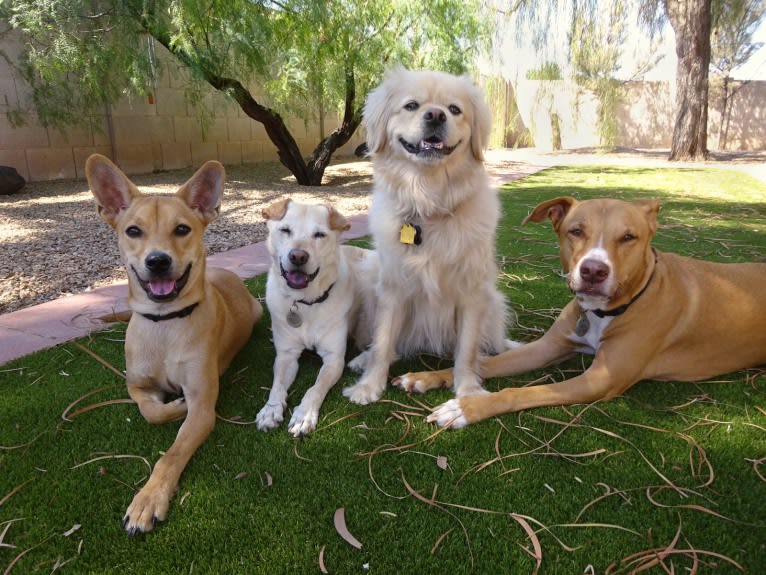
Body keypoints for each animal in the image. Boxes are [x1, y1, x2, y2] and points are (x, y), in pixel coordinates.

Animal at [87, 154, 264, 536]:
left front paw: (148, 500)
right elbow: (149, 410)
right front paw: (172, 406)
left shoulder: (203, 406)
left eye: (182, 229)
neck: (164, 325)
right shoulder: (135, 385)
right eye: (133, 231)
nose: (158, 261)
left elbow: (171, 455)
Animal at [258, 199, 378, 436]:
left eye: (319, 235)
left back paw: (361, 361)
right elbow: (277, 385)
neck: (305, 302)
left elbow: (315, 388)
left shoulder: (334, 358)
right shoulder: (286, 355)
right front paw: (270, 409)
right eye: (285, 230)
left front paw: (304, 415)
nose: (298, 256)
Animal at [344, 67, 516, 408]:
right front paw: (369, 385)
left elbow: (467, 350)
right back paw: (362, 360)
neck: (429, 202)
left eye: (454, 109)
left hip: (493, 300)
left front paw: (468, 391)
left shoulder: (473, 292)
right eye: (411, 105)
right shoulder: (392, 289)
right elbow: (383, 342)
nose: (435, 115)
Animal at [396, 198, 766, 428]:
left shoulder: (600, 379)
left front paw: (466, 407)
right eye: (576, 231)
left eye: (628, 237)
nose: (593, 271)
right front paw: (427, 376)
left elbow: (522, 391)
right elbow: (480, 363)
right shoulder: (548, 347)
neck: (604, 313)